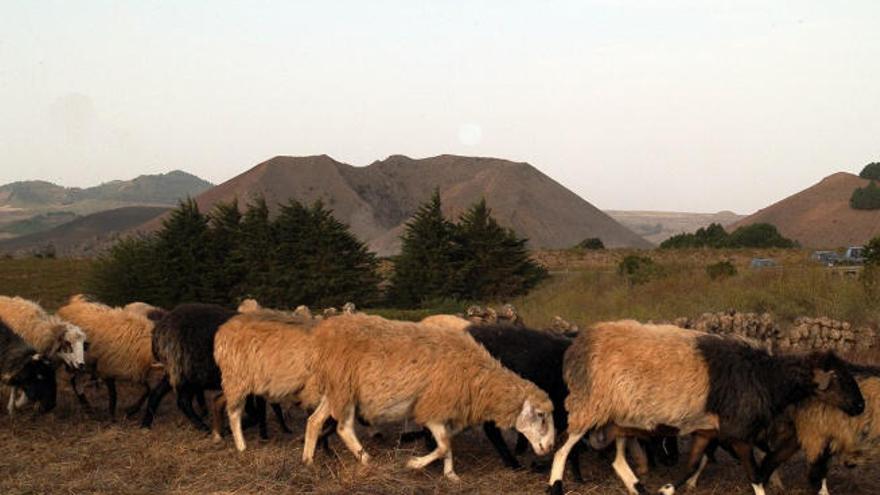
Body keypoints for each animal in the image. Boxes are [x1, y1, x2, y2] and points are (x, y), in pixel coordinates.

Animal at [211, 314, 322, 454]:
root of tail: (222, 331)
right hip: (236, 378)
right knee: (234, 413)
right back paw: (241, 446)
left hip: (241, 382)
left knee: (219, 400)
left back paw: (218, 435)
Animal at [300, 314, 552, 480]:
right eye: (540, 415)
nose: (549, 447)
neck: (477, 378)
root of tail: (322, 336)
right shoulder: (432, 408)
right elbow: (444, 444)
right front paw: (414, 464)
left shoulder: (445, 412)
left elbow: (447, 444)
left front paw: (451, 475)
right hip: (346, 387)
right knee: (343, 427)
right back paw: (366, 460)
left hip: (336, 390)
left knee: (314, 420)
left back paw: (308, 461)